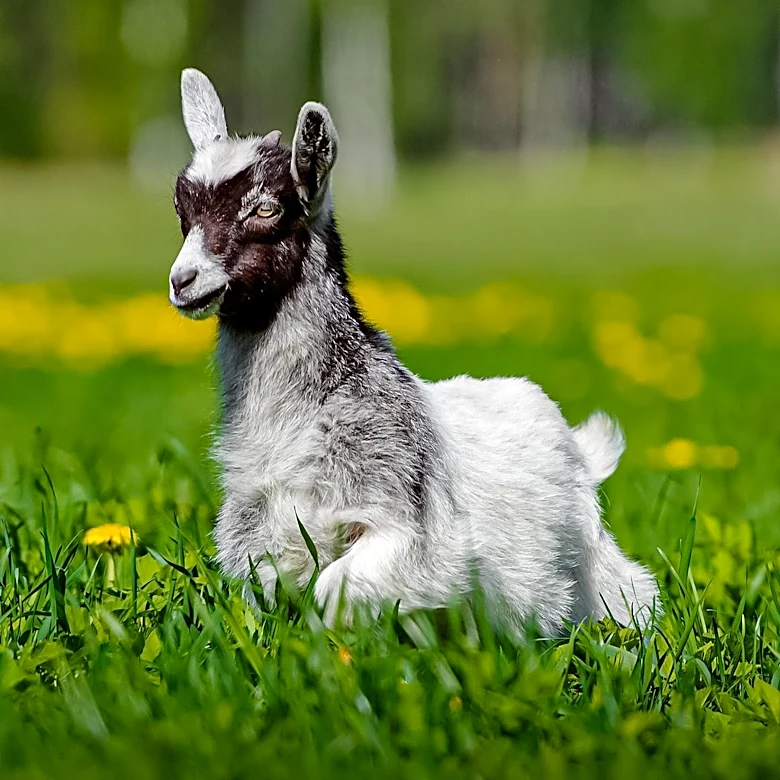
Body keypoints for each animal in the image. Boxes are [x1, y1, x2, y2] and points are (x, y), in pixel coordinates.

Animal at [168, 69, 659, 634]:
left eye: (266, 207)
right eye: (181, 208)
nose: (183, 281)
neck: (301, 421)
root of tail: (580, 446)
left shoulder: (405, 526)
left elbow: (332, 590)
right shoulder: (264, 542)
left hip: (595, 564)